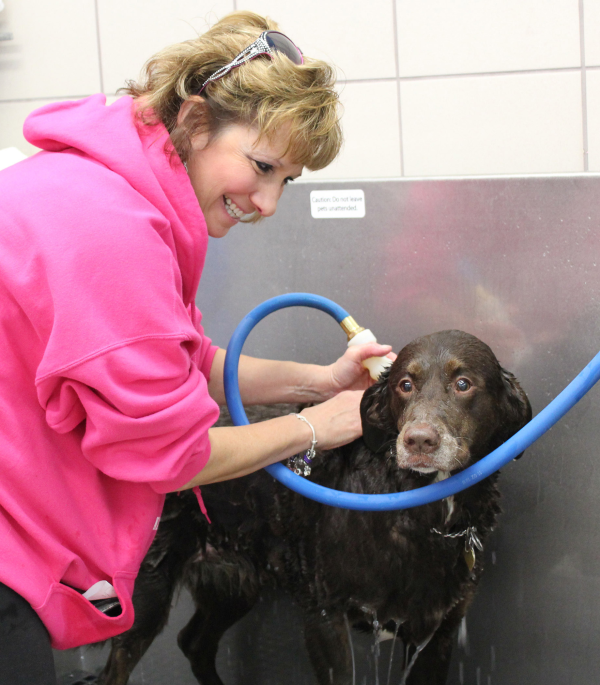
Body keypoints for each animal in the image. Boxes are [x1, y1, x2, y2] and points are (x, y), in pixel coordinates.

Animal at [98, 330, 531, 685]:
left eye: (463, 384)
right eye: (405, 385)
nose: (419, 440)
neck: (419, 512)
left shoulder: (437, 632)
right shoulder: (324, 617)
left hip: (234, 584)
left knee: (194, 643)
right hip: (146, 594)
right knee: (117, 667)